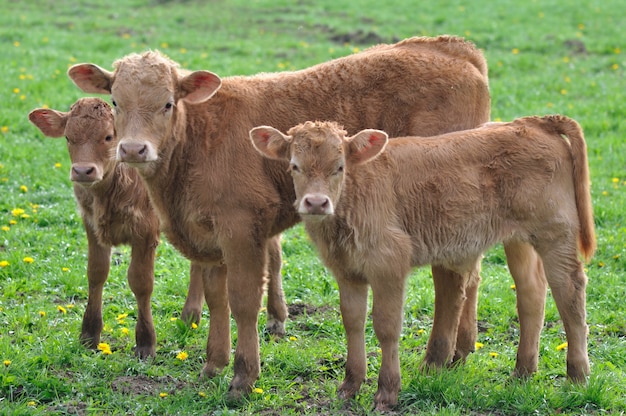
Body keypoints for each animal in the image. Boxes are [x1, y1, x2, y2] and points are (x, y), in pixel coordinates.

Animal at [67, 35, 492, 396]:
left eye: (168, 102)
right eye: (116, 101)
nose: (133, 149)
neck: (196, 141)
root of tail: (452, 49)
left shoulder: (241, 230)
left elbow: (242, 300)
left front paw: (243, 376)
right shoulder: (208, 237)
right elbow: (216, 298)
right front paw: (213, 365)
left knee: (450, 282)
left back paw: (435, 359)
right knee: (471, 275)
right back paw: (461, 351)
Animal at [251, 116, 592, 410]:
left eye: (339, 167)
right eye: (295, 166)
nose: (316, 202)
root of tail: (531, 122)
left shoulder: (389, 264)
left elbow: (386, 326)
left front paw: (387, 392)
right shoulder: (347, 271)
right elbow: (352, 322)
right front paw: (350, 386)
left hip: (555, 234)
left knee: (569, 293)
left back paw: (577, 377)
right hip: (519, 239)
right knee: (531, 293)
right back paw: (522, 373)